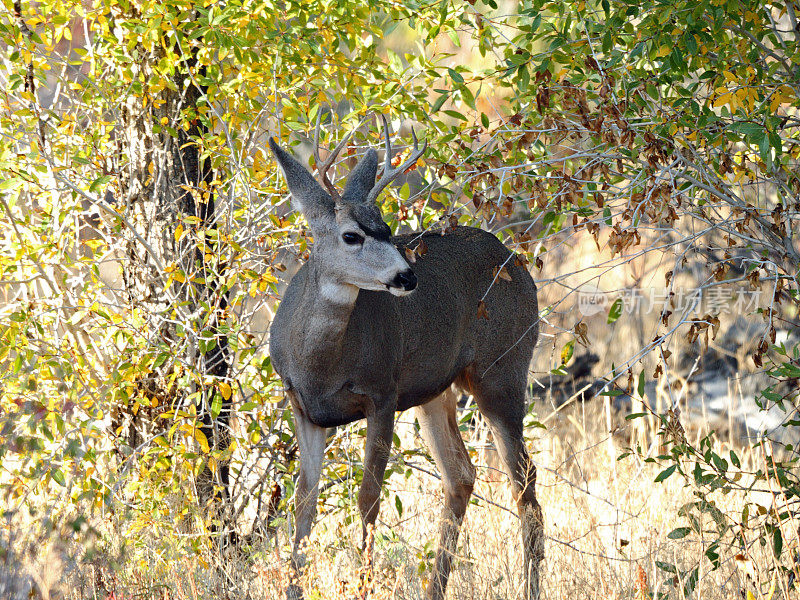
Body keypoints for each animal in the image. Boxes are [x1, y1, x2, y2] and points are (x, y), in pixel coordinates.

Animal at [268, 117, 544, 600]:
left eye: (386, 227)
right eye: (352, 235)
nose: (407, 276)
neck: (320, 365)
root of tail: (517, 262)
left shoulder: (382, 393)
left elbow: (368, 499)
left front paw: (363, 585)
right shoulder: (303, 408)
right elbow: (304, 504)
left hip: (501, 372)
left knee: (524, 485)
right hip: (434, 390)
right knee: (461, 474)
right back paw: (435, 589)